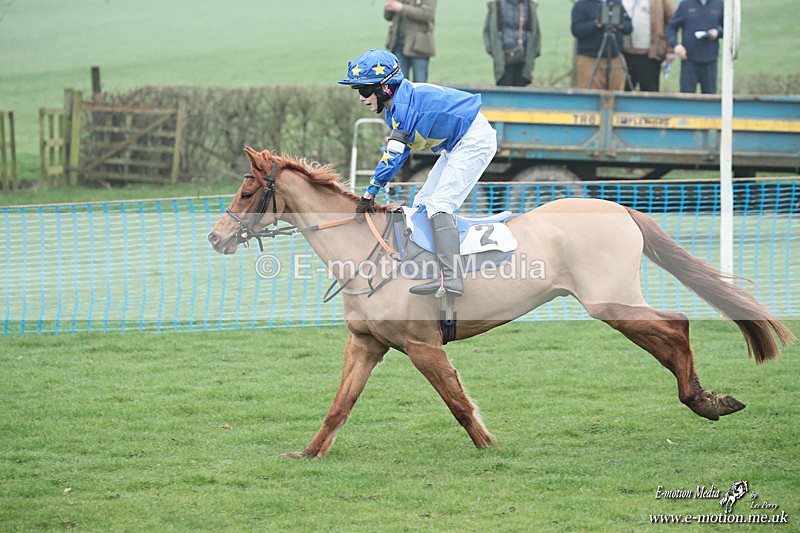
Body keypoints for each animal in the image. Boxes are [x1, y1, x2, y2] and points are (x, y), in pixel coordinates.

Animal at [207, 147, 794, 459]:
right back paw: (706, 399)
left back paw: (703, 400)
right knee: (672, 330)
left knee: (676, 325)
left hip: (610, 302)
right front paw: (308, 454)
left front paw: (490, 448)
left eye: (245, 193)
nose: (215, 237)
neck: (364, 253)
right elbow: (339, 406)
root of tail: (619, 207)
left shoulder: (422, 345)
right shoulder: (367, 344)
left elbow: (457, 401)